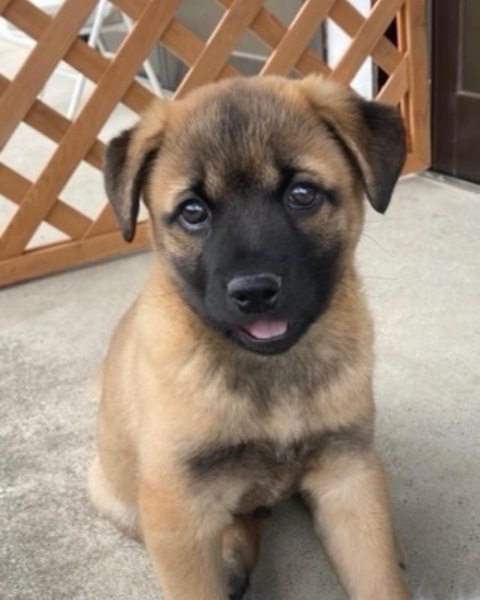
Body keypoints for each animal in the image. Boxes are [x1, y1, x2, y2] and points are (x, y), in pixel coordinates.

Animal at [88, 74, 409, 600]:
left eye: (302, 193)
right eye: (193, 211)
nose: (254, 292)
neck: (271, 372)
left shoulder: (349, 478)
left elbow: (378, 578)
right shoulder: (177, 513)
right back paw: (233, 555)